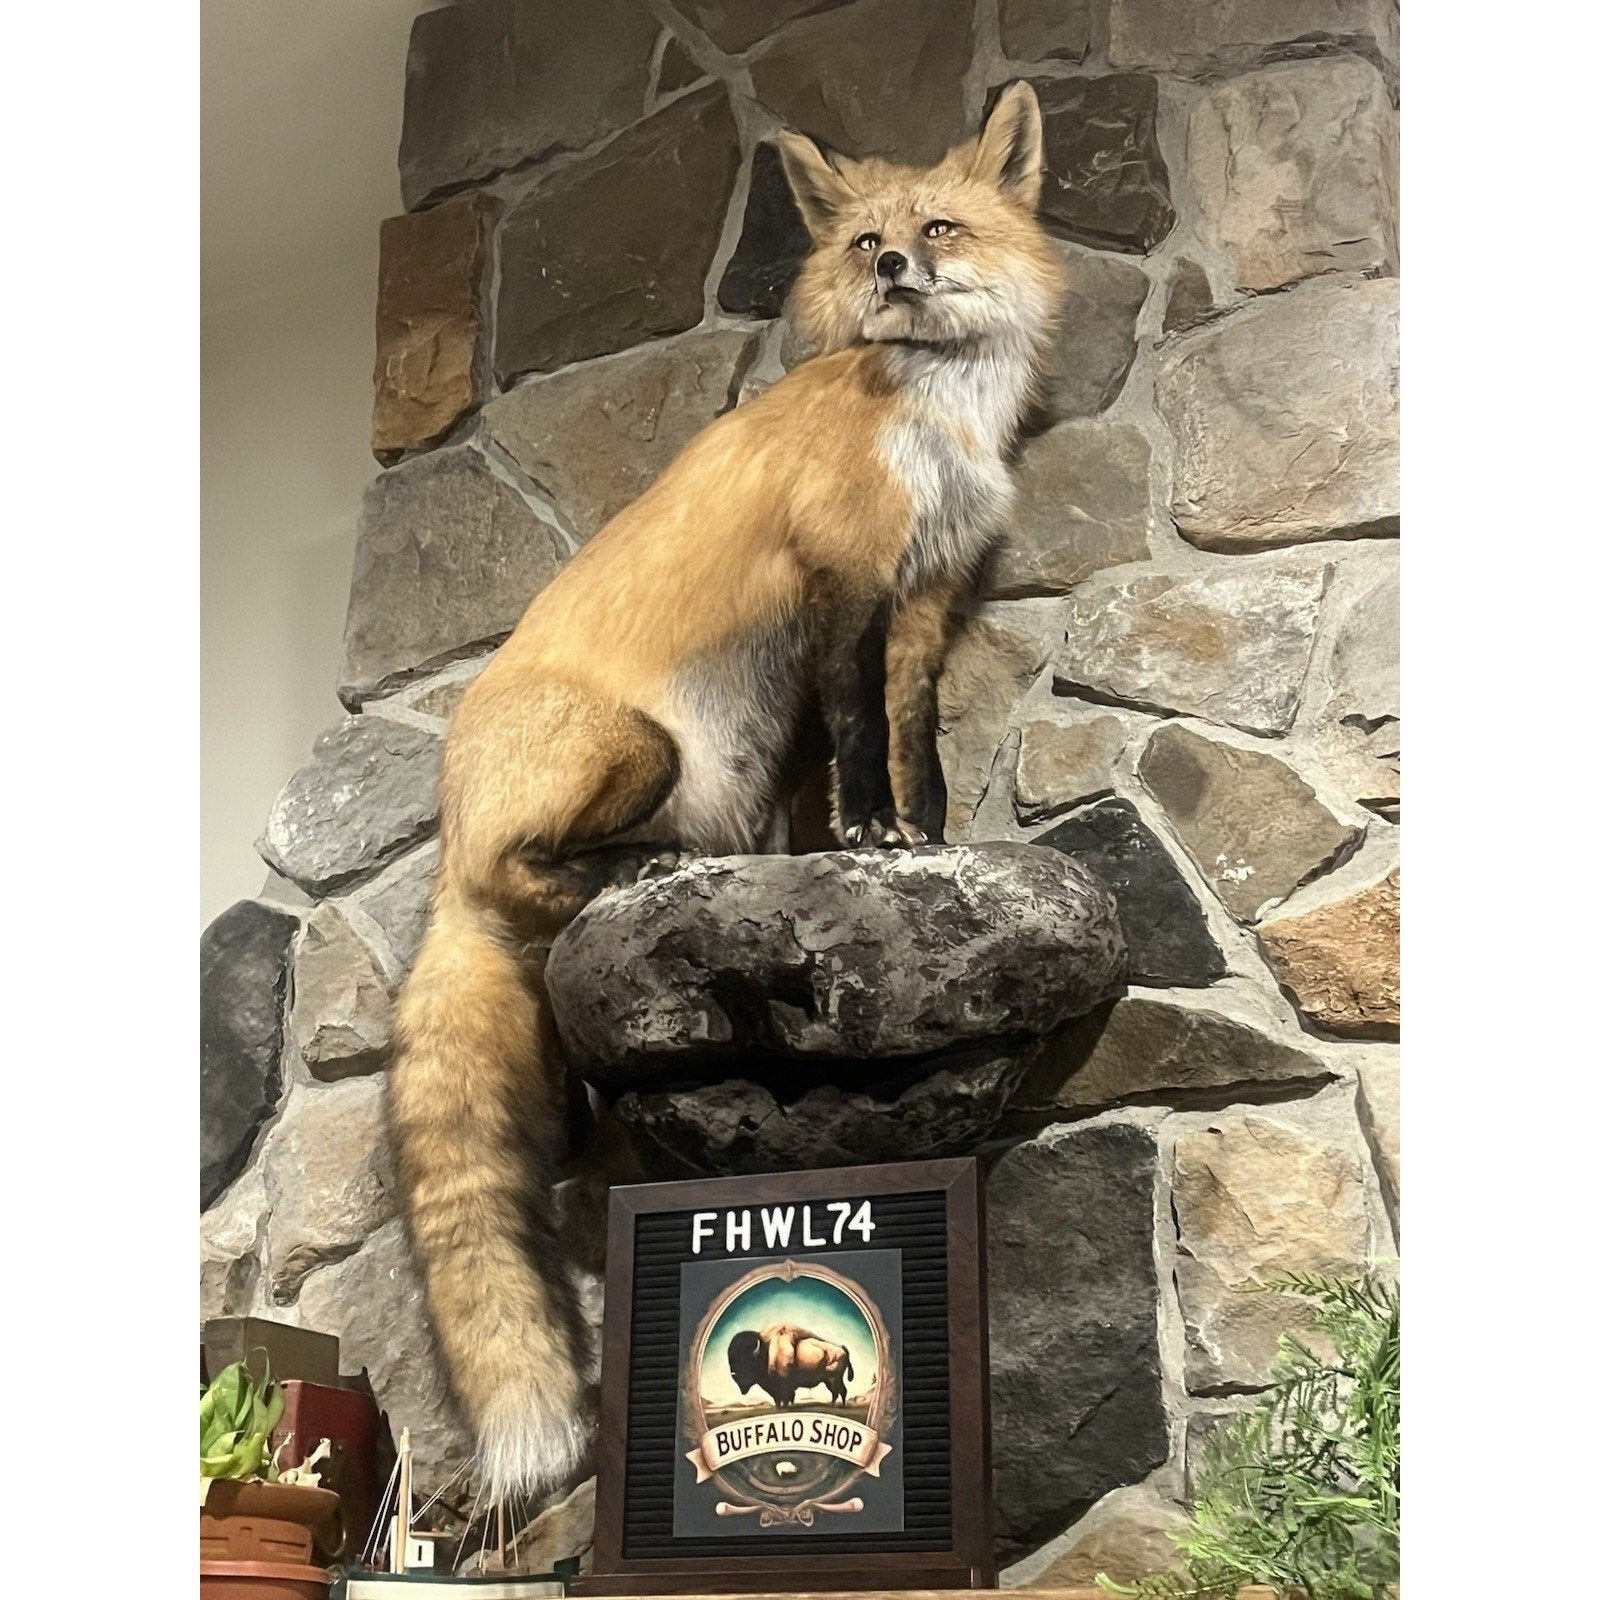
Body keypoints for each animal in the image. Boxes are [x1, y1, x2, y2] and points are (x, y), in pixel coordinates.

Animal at [388, 81, 1067, 1500]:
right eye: (865, 241)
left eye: (936, 225)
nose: (894, 268)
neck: (929, 413)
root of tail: (445, 835)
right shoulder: (843, 585)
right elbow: (860, 736)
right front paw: (868, 832)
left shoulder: (923, 600)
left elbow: (915, 740)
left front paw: (922, 839)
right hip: (641, 751)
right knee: (538, 873)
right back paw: (643, 871)